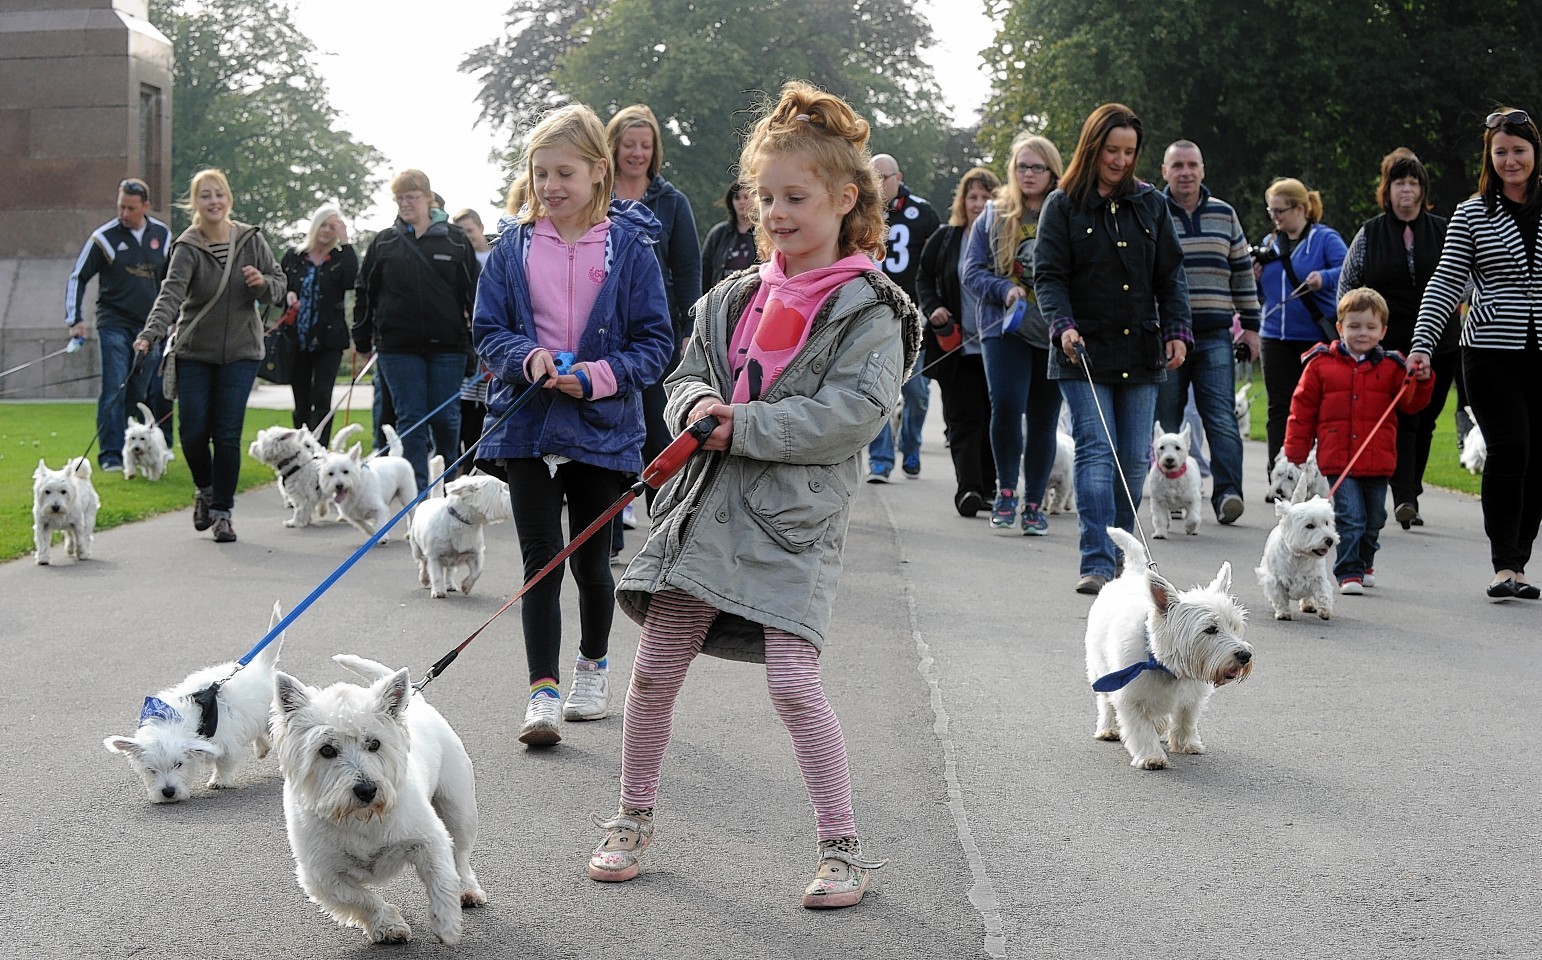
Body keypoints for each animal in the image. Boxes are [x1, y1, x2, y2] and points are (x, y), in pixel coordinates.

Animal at [104, 604, 285, 801]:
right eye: (151, 769)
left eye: (178, 764)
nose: (168, 792)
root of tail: (262, 666)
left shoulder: (226, 741)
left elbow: (224, 761)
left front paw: (220, 780)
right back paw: (261, 749)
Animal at [274, 653, 484, 949]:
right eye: (326, 750)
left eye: (374, 744)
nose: (366, 790)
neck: (361, 817)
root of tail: (416, 699)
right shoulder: (321, 874)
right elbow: (360, 899)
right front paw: (389, 926)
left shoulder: (429, 838)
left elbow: (441, 877)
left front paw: (447, 924)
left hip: (458, 808)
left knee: (461, 856)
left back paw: (467, 890)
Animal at [1085, 530, 1252, 770]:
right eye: (1210, 629)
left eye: (1235, 626)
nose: (1245, 655)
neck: (1164, 666)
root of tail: (1132, 575)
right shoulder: (1129, 696)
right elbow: (1140, 728)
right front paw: (1151, 757)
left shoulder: (1193, 694)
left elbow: (1186, 718)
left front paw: (1186, 744)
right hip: (1099, 668)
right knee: (1105, 701)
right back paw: (1108, 728)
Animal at [1252, 474, 1338, 622]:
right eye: (1309, 526)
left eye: (1326, 522)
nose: (1330, 540)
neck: (1299, 556)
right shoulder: (1275, 580)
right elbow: (1280, 597)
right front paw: (1283, 613)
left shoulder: (1317, 578)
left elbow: (1323, 593)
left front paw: (1326, 611)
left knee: (1308, 596)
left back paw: (1308, 605)